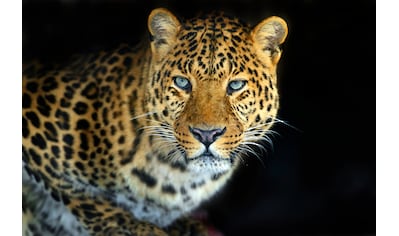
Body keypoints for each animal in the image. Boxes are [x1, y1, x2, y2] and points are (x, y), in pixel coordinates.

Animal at [22, 7, 288, 236]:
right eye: (182, 82)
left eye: (236, 85)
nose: (207, 134)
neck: (179, 176)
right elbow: (84, 197)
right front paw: (132, 227)